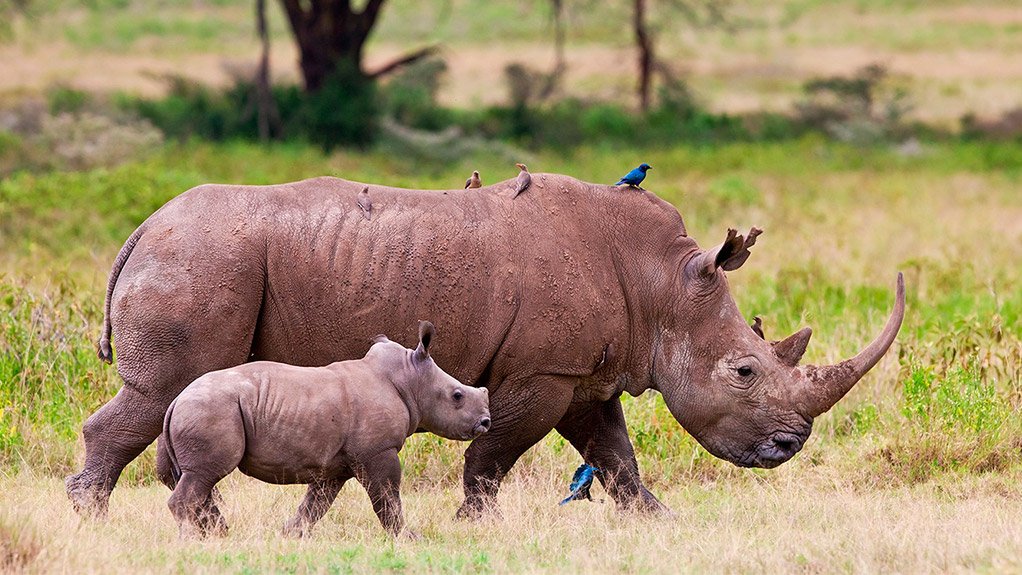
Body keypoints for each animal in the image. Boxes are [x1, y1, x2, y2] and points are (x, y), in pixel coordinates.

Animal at [158, 321, 489, 538]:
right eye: (457, 396)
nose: (485, 422)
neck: (409, 379)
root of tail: (176, 400)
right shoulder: (378, 450)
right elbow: (387, 496)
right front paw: (408, 539)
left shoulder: (336, 463)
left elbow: (316, 503)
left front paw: (290, 535)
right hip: (211, 409)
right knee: (205, 474)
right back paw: (193, 539)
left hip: (204, 408)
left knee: (200, 478)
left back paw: (216, 535)